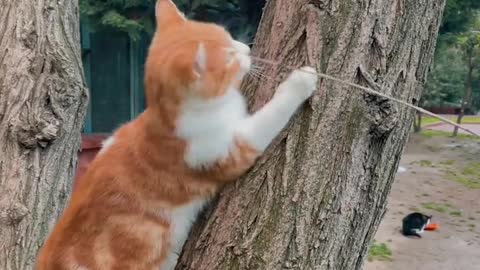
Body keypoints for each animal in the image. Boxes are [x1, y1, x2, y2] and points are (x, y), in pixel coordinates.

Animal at [34, 1, 318, 268]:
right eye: (229, 56)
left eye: (229, 36)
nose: (247, 50)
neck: (166, 118)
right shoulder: (226, 150)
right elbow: (269, 117)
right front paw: (299, 83)